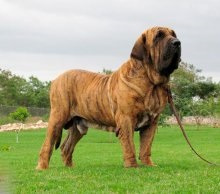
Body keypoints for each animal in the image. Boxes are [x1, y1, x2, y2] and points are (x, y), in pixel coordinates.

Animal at [36, 26, 180, 169]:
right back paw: (42, 167)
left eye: (173, 34)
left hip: (78, 126)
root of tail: (55, 80)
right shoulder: (126, 119)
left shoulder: (152, 122)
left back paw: (70, 167)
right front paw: (132, 166)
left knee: (66, 147)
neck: (151, 83)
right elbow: (129, 145)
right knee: (47, 145)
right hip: (57, 118)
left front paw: (148, 165)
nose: (177, 42)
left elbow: (146, 146)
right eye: (158, 36)